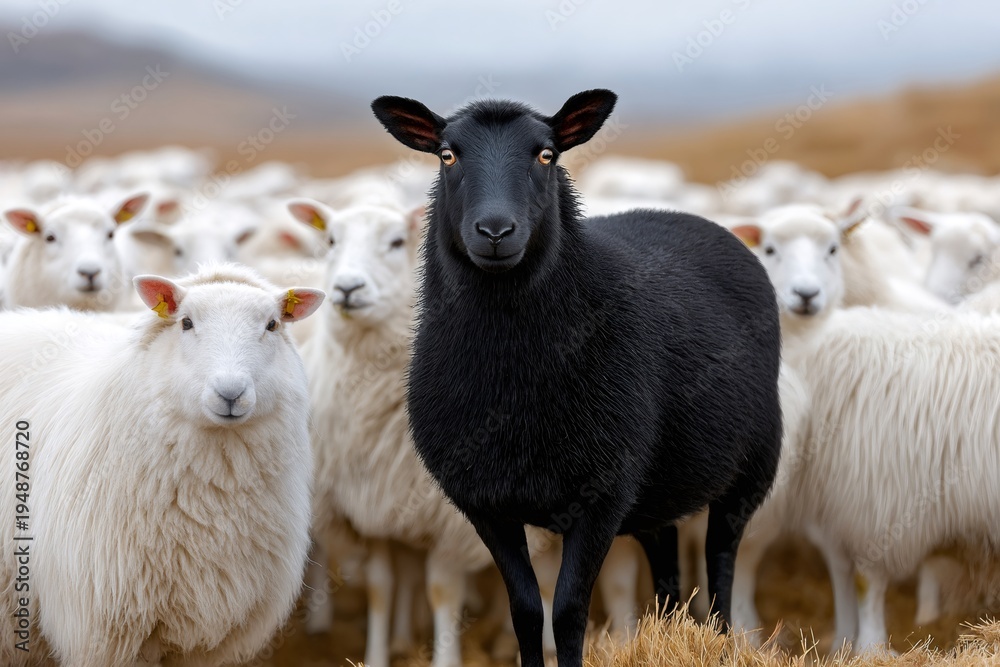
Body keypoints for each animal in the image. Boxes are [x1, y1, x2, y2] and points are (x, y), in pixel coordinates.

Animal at [371, 89, 783, 667]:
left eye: (547, 155)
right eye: (447, 155)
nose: (495, 232)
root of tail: (694, 219)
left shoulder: (600, 496)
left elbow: (568, 610)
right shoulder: (486, 504)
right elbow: (525, 609)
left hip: (751, 466)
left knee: (721, 557)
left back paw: (721, 642)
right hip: (657, 487)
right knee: (667, 558)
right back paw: (668, 633)